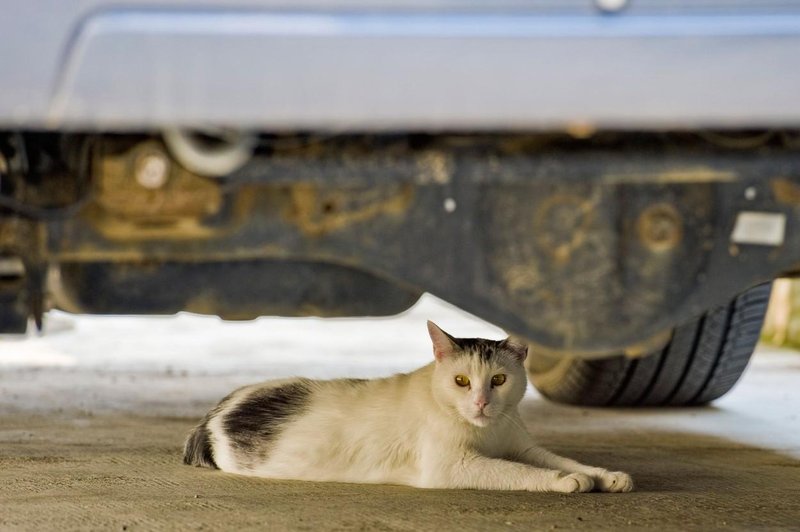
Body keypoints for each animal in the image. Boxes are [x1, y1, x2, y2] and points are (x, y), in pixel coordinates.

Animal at [184, 320, 636, 494]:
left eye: (499, 381)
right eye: (461, 381)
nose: (481, 402)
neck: (486, 431)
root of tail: (212, 415)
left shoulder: (522, 445)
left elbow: (559, 458)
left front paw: (605, 475)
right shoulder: (452, 467)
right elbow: (516, 472)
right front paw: (566, 481)